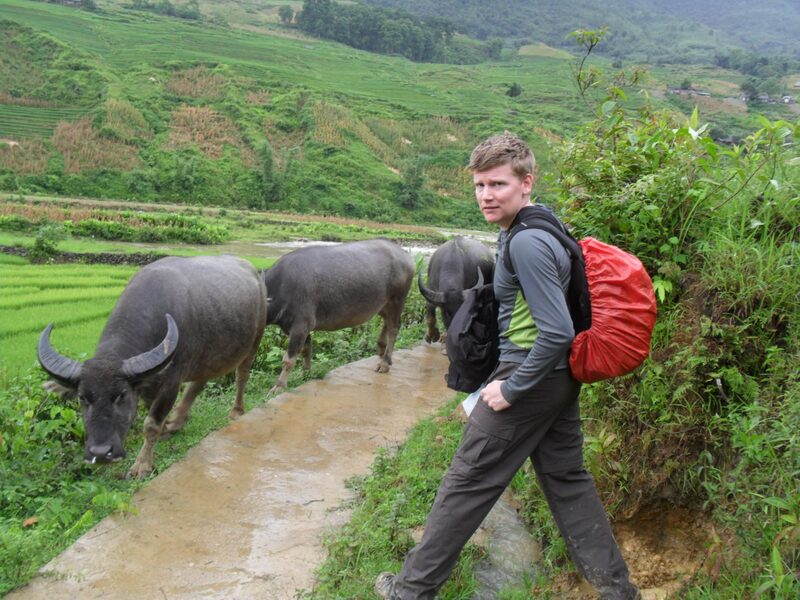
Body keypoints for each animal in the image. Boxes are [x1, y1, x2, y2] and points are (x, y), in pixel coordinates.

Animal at [37, 255, 268, 480]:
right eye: (82, 398)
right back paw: (178, 420)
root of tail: (255, 274)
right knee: (199, 381)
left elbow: (150, 424)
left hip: (254, 341)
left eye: (121, 395)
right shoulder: (148, 382)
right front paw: (165, 429)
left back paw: (236, 410)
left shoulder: (171, 383)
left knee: (241, 375)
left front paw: (142, 465)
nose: (101, 453)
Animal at [264, 239, 416, 394]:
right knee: (387, 321)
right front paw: (305, 374)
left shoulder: (301, 325)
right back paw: (382, 351)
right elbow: (307, 350)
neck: (280, 287)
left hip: (398, 300)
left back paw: (384, 363)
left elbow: (289, 359)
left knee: (394, 328)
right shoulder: (295, 327)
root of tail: (405, 254)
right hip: (383, 304)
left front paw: (279, 386)